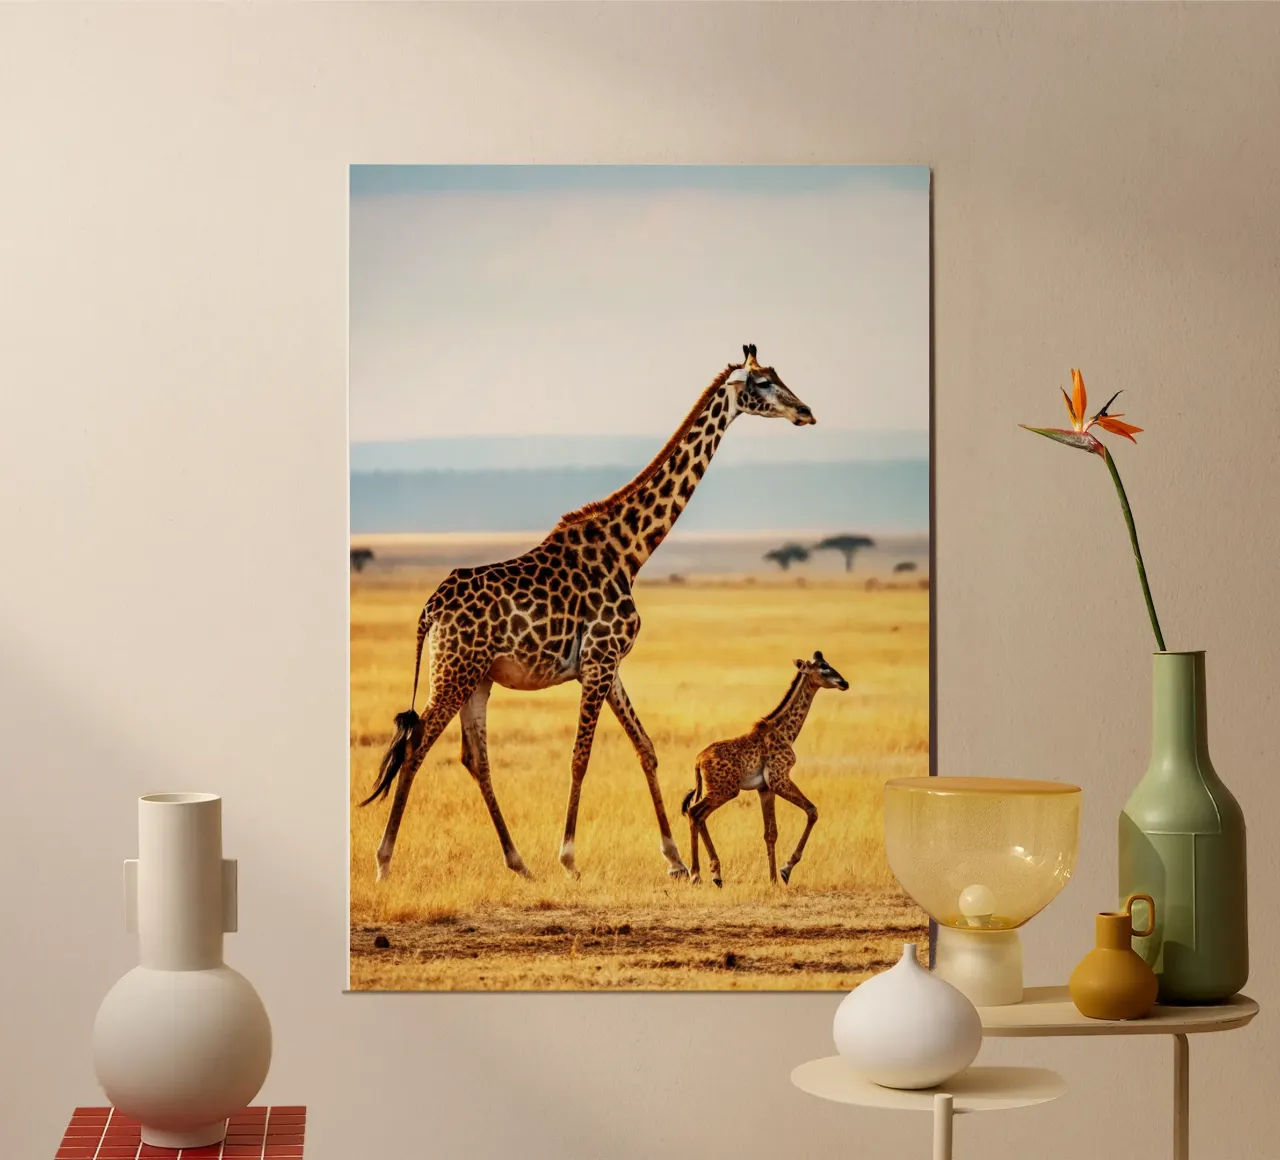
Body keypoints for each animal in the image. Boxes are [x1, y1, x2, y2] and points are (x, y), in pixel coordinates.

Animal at [359, 344, 816, 883]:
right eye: (763, 382)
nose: (805, 412)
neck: (630, 550)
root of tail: (431, 609)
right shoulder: (599, 661)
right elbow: (581, 757)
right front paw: (570, 859)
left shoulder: (608, 664)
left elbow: (646, 748)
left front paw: (676, 860)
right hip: (454, 670)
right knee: (417, 746)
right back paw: (384, 862)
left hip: (477, 677)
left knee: (475, 758)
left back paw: (519, 863)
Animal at [680, 651, 849, 887]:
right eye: (823, 666)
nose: (844, 683)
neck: (786, 732)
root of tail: (698, 760)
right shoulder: (779, 779)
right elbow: (812, 811)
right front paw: (785, 870)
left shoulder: (765, 788)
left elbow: (771, 832)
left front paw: (773, 879)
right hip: (726, 790)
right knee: (695, 813)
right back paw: (698, 874)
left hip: (716, 790)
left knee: (698, 816)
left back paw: (714, 874)